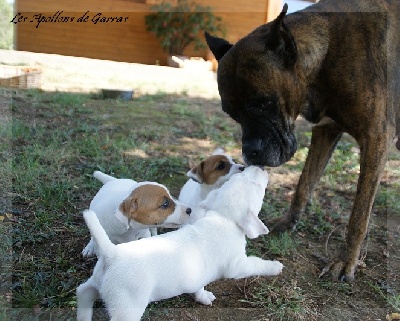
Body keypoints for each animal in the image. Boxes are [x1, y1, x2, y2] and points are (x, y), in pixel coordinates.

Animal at [77, 165, 284, 320]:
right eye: (257, 186)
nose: (259, 166)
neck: (222, 218)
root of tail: (112, 254)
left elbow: (199, 286)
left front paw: (202, 296)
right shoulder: (237, 266)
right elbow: (256, 264)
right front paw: (275, 267)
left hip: (94, 285)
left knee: (83, 293)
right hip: (127, 309)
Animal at [206, 0, 400, 280]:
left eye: (264, 103)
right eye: (232, 114)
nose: (250, 151)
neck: (327, 54)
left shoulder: (376, 138)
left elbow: (359, 215)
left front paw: (345, 260)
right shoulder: (326, 131)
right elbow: (304, 184)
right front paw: (289, 222)